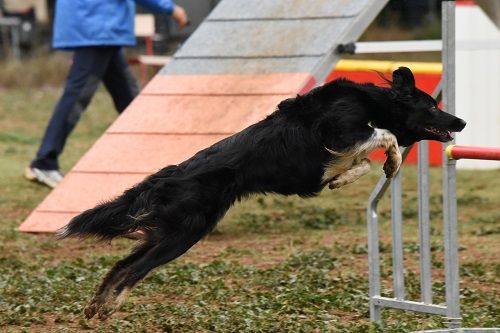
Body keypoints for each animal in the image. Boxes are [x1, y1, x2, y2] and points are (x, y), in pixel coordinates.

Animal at [60, 66, 466, 318]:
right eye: (432, 106)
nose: (462, 121)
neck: (377, 103)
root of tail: (170, 175)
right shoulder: (341, 130)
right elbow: (386, 135)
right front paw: (391, 161)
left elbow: (360, 163)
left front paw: (343, 178)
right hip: (184, 234)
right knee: (134, 269)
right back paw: (108, 307)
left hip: (170, 233)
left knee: (122, 264)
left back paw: (95, 306)